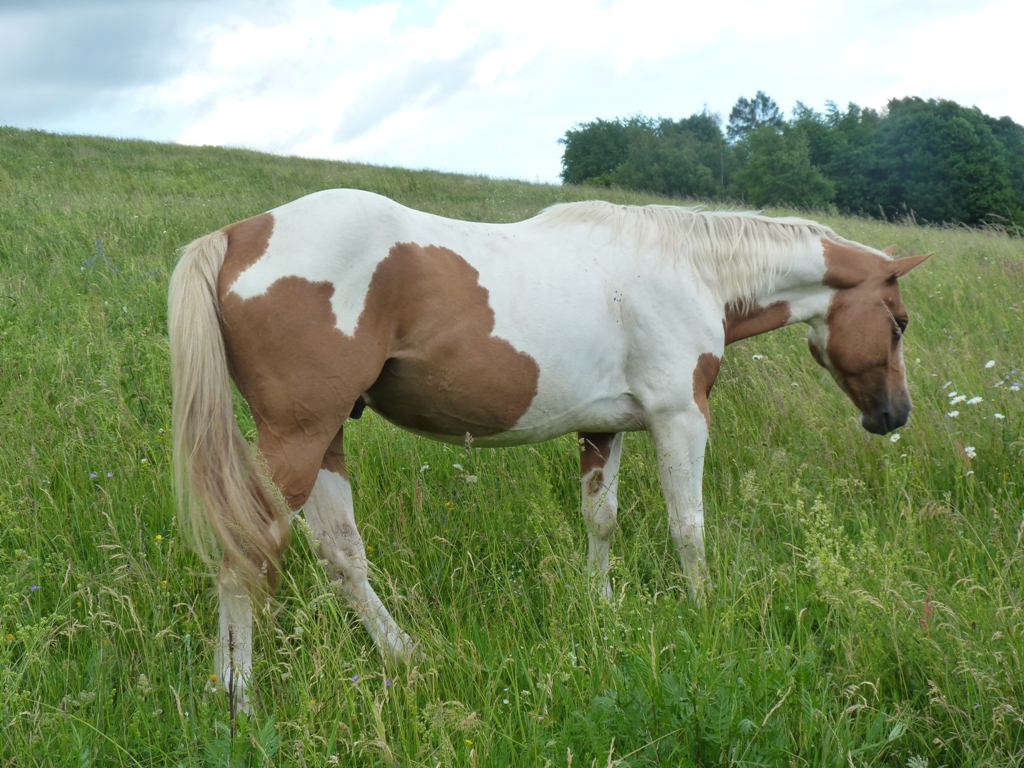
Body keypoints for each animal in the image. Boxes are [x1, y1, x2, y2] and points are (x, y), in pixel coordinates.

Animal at [169, 188, 929, 716]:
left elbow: (602, 521)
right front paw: (705, 612)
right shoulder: (681, 418)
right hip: (300, 439)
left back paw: (403, 654)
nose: (893, 416)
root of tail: (237, 235)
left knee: (341, 555)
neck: (690, 268)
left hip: (327, 439)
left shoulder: (604, 428)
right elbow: (688, 527)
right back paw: (239, 698)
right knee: (246, 554)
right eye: (898, 322)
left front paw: (602, 609)